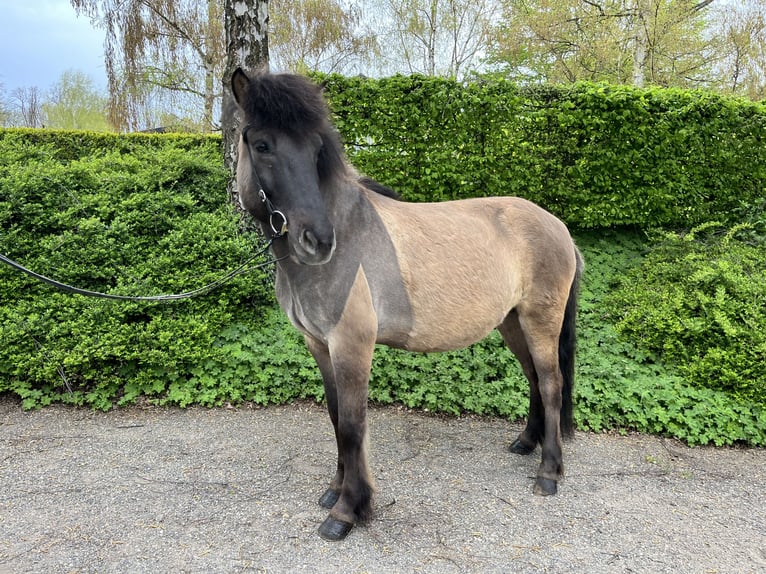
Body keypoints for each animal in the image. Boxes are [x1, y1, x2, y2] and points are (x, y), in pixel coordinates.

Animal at [230, 68, 584, 541]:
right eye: (262, 144)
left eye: (316, 149)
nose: (318, 240)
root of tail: (558, 226)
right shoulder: (320, 346)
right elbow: (335, 416)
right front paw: (334, 490)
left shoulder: (352, 346)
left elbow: (352, 425)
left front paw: (347, 511)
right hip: (512, 324)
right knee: (533, 379)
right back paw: (526, 443)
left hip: (539, 321)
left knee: (550, 383)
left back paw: (548, 472)